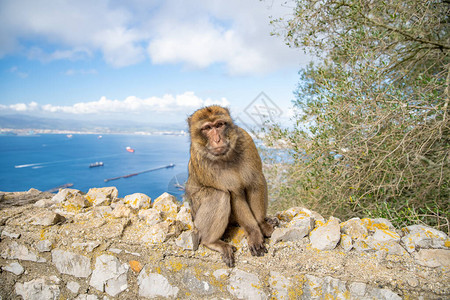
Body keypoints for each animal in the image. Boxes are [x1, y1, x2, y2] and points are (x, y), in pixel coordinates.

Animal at [184, 105, 274, 268]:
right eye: (207, 128)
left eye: (219, 125)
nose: (217, 139)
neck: (226, 156)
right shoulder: (202, 159)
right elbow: (234, 194)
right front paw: (254, 232)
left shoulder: (246, 141)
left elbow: (255, 183)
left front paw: (262, 225)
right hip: (196, 216)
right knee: (219, 194)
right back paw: (211, 242)